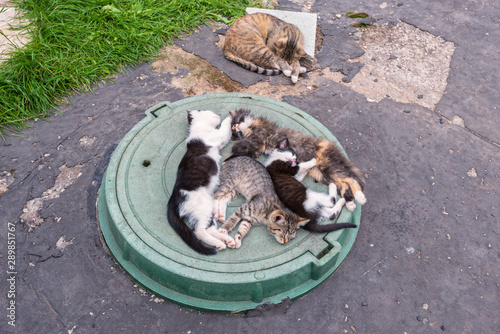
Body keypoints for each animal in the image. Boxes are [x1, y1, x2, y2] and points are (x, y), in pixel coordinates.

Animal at [165, 110, 233, 256]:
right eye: (204, 110)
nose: (216, 113)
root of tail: (173, 199)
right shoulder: (216, 135)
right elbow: (225, 128)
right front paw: (231, 117)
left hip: (209, 209)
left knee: (209, 229)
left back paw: (226, 240)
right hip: (204, 207)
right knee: (199, 231)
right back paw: (219, 244)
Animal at [230, 109, 368, 211]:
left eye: (238, 120)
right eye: (234, 130)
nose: (236, 128)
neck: (251, 127)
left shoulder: (259, 135)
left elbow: (243, 144)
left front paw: (236, 146)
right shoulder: (256, 143)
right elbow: (247, 148)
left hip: (327, 166)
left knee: (351, 178)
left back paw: (360, 197)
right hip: (323, 174)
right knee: (343, 183)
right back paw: (350, 203)